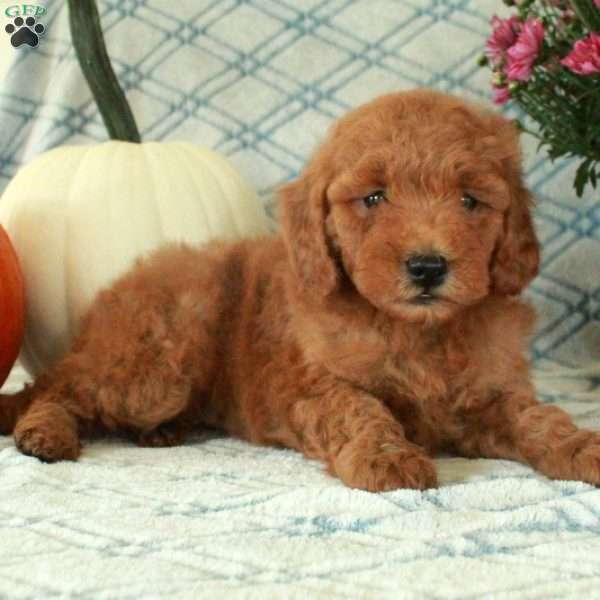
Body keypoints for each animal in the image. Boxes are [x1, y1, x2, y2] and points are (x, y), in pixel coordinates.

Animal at [2, 89, 596, 490]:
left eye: (470, 201)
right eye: (374, 198)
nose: (428, 266)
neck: (417, 333)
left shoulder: (491, 394)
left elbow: (540, 418)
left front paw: (583, 447)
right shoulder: (308, 386)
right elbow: (359, 409)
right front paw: (388, 457)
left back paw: (158, 434)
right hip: (157, 363)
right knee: (59, 387)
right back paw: (45, 433)